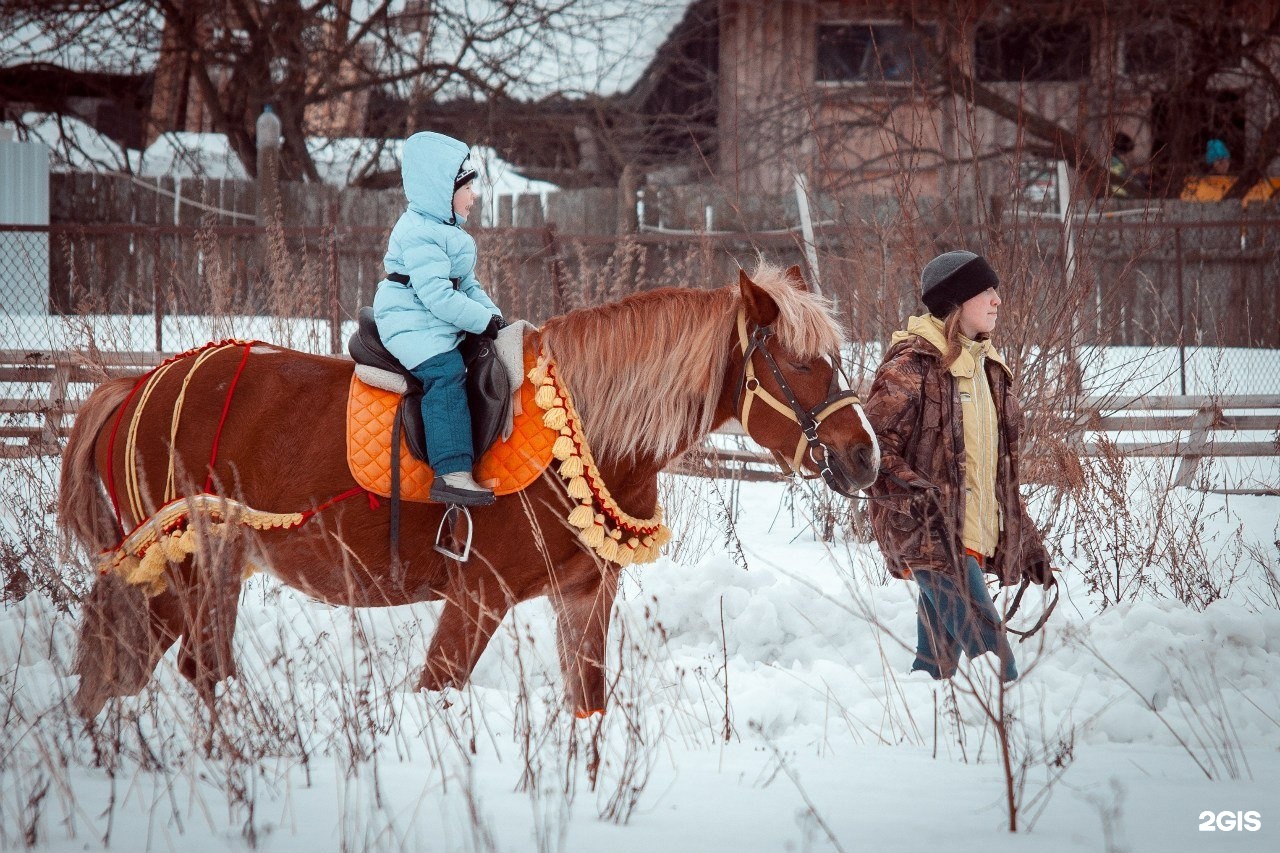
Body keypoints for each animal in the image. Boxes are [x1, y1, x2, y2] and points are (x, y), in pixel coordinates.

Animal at [60, 261, 880, 717]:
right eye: (799, 363)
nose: (864, 456)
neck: (583, 429)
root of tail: (133, 387)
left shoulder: (585, 597)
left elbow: (588, 706)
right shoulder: (476, 597)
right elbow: (436, 687)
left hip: (210, 569)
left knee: (173, 671)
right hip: (182, 568)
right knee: (148, 671)